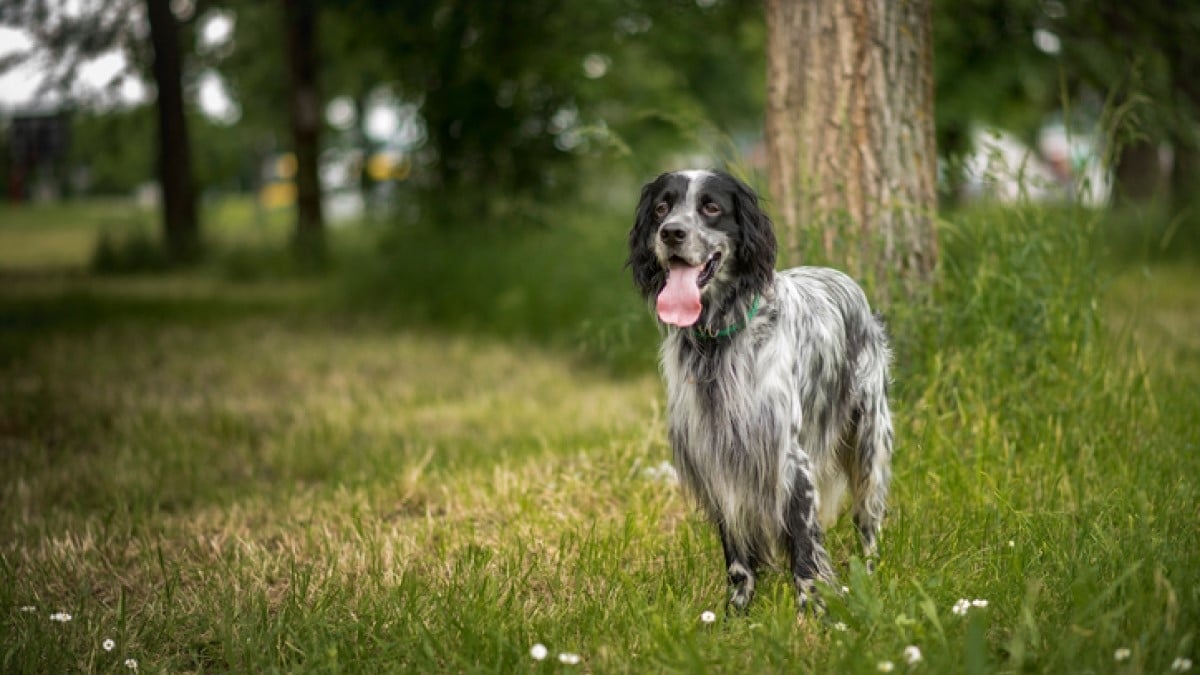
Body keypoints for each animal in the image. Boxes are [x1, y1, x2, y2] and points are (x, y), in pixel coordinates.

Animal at [628, 169, 892, 614]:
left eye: (711, 207)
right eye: (662, 207)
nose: (671, 233)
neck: (718, 345)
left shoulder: (789, 458)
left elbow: (804, 548)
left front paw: (812, 613)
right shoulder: (717, 459)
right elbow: (737, 557)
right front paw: (736, 613)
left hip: (870, 442)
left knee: (868, 521)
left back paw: (872, 576)